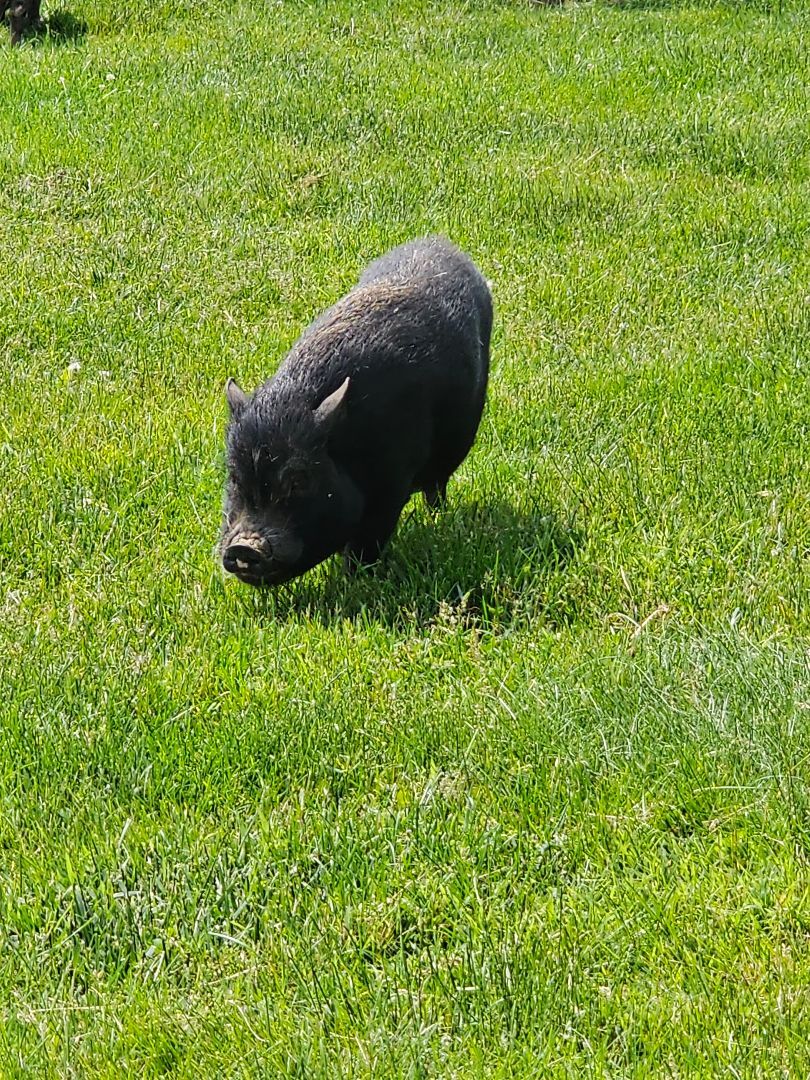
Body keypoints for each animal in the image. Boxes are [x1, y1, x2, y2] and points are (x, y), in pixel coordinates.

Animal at [220, 235, 492, 587]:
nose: (243, 546)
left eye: (299, 480)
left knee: (437, 486)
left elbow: (368, 542)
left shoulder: (392, 486)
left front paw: (357, 580)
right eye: (235, 477)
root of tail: (439, 242)